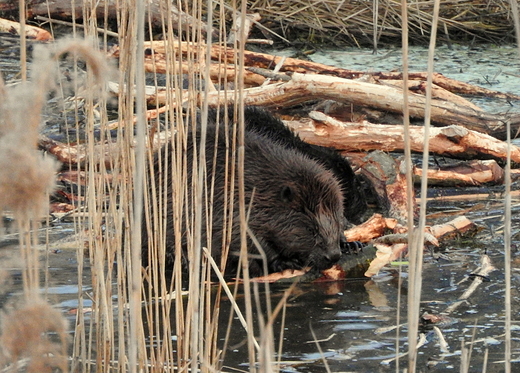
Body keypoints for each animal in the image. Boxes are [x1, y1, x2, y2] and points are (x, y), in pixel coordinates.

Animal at [140, 106, 348, 278]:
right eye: (312, 229)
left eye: (337, 223)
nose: (333, 256)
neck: (258, 184)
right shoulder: (232, 208)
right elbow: (248, 242)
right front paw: (286, 262)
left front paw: (347, 241)